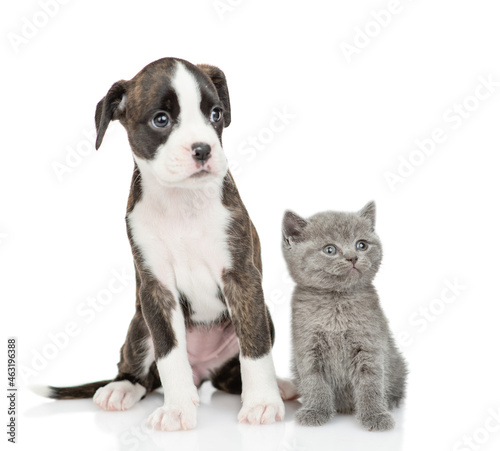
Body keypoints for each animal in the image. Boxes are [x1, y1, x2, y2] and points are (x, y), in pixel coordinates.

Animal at [282, 202, 406, 430]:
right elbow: (314, 382)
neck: (336, 303)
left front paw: (375, 415)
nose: (353, 257)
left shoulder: (370, 346)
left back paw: (392, 401)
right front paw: (316, 411)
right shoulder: (307, 347)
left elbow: (371, 383)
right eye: (330, 249)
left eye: (361, 245)